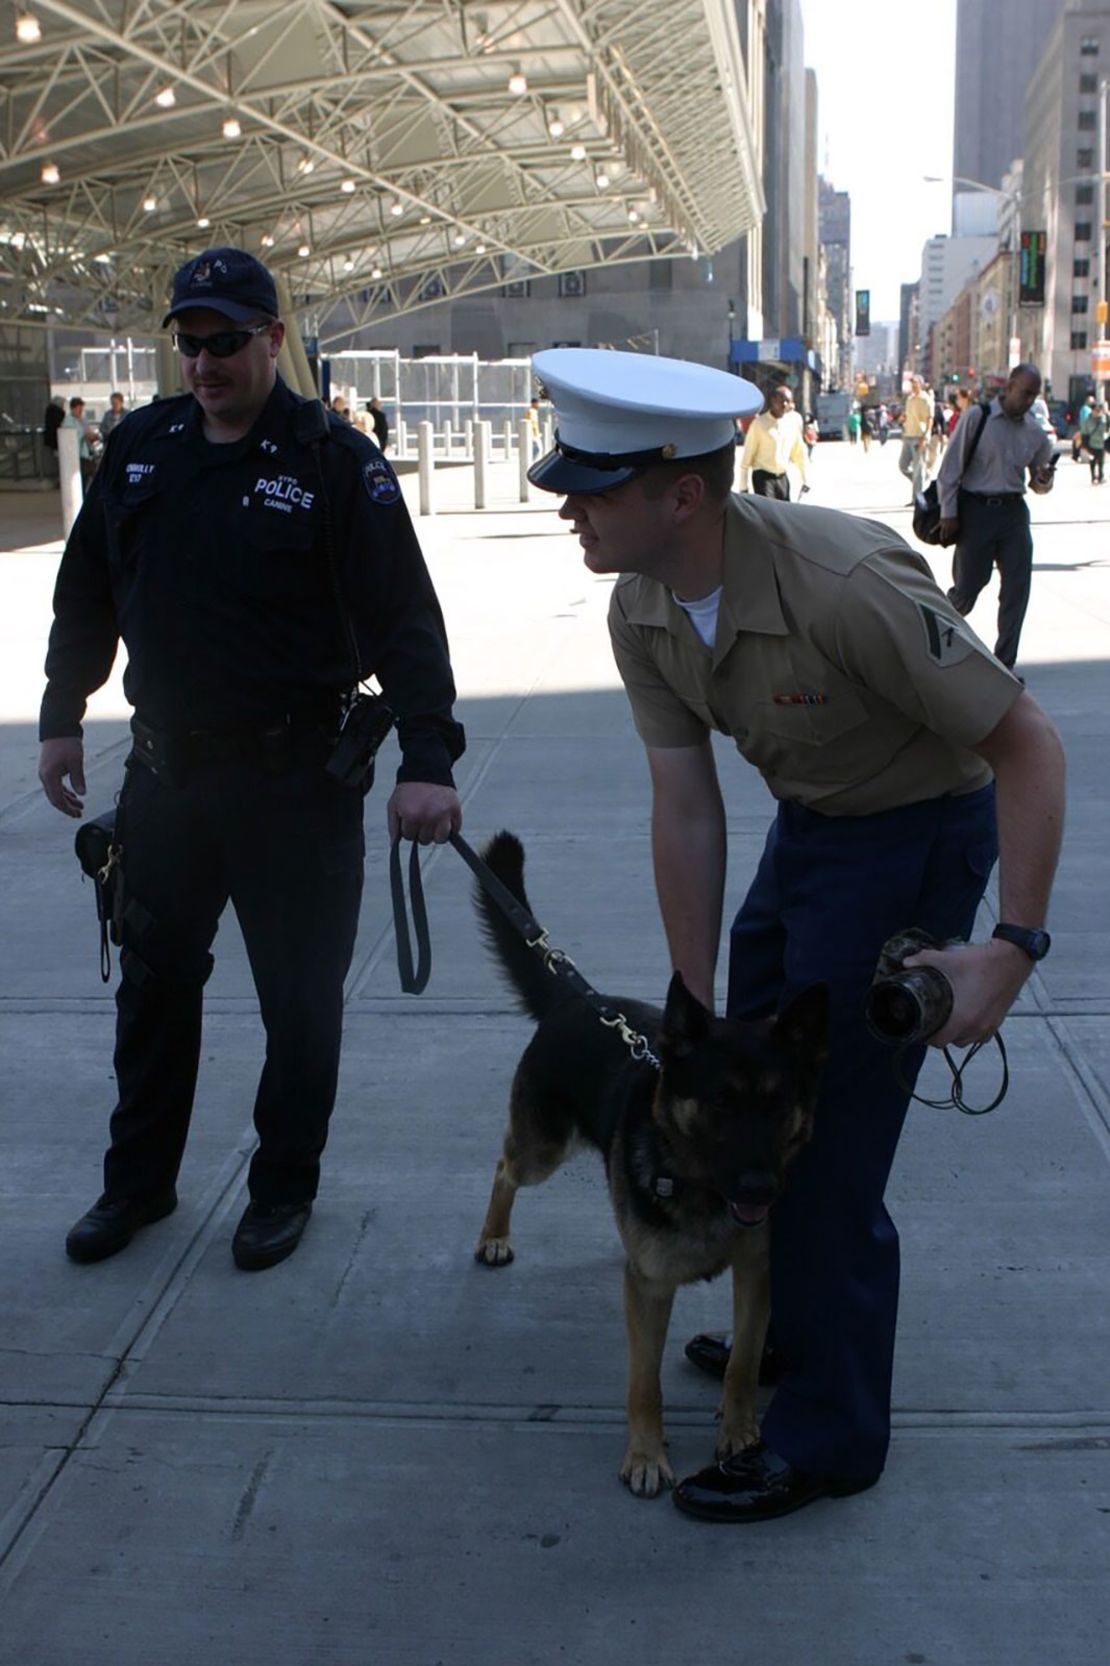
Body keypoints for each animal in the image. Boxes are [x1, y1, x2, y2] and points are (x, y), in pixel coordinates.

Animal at [466, 833, 820, 1499]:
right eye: (720, 1103)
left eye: (778, 1104)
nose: (762, 1188)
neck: (706, 1189)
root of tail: (577, 999)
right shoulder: (651, 1293)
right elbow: (644, 1384)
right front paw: (646, 1456)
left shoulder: (755, 1274)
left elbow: (742, 1363)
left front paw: (741, 1435)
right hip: (543, 1149)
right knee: (504, 1166)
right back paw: (494, 1235)